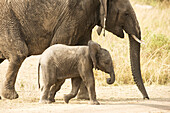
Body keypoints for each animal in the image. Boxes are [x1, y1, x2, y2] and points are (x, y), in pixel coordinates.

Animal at [0, 0, 149, 99]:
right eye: (126, 14)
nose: (145, 98)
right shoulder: (74, 14)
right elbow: (60, 43)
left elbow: (84, 46)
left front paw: (84, 98)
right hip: (6, 20)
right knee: (19, 53)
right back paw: (11, 96)